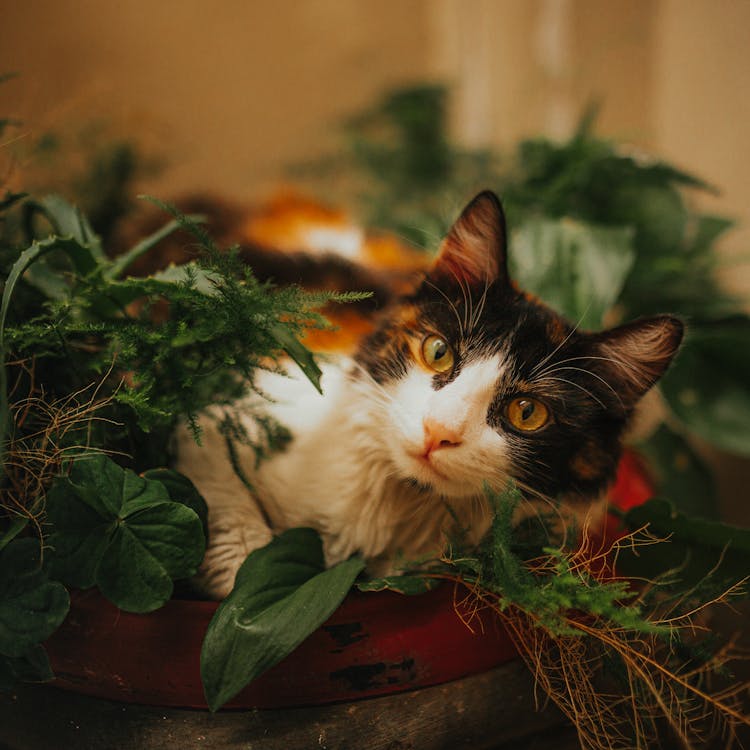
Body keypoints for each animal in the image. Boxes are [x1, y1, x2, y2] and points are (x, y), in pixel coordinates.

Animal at [173, 192, 684, 600]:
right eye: (438, 352)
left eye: (527, 412)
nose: (438, 431)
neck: (398, 501)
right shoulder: (223, 414)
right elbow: (221, 489)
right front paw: (242, 569)